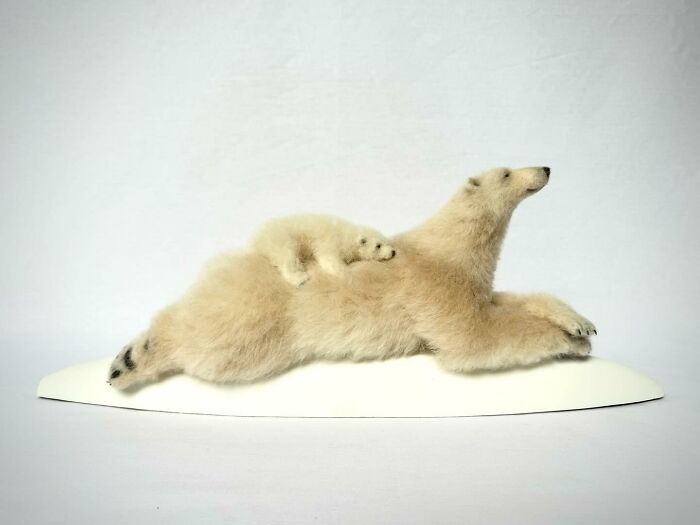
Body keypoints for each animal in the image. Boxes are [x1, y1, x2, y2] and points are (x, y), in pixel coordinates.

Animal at [250, 214, 397, 287]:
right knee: (287, 256)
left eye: (386, 242)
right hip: (280, 238)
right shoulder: (329, 242)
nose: (393, 252)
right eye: (378, 245)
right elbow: (329, 259)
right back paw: (301, 278)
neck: (347, 235)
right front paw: (346, 273)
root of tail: (256, 238)